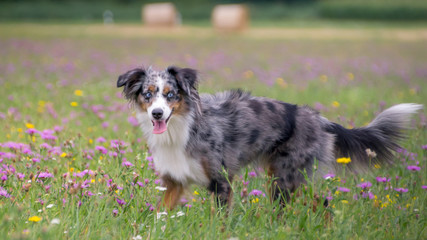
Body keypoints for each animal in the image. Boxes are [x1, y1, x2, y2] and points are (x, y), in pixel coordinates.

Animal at [117, 65, 422, 210]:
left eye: (171, 95)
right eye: (148, 94)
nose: (157, 113)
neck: (182, 127)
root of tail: (319, 119)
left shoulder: (221, 181)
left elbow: (220, 220)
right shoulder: (174, 183)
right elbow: (159, 213)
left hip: (286, 179)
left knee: (318, 203)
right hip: (281, 178)